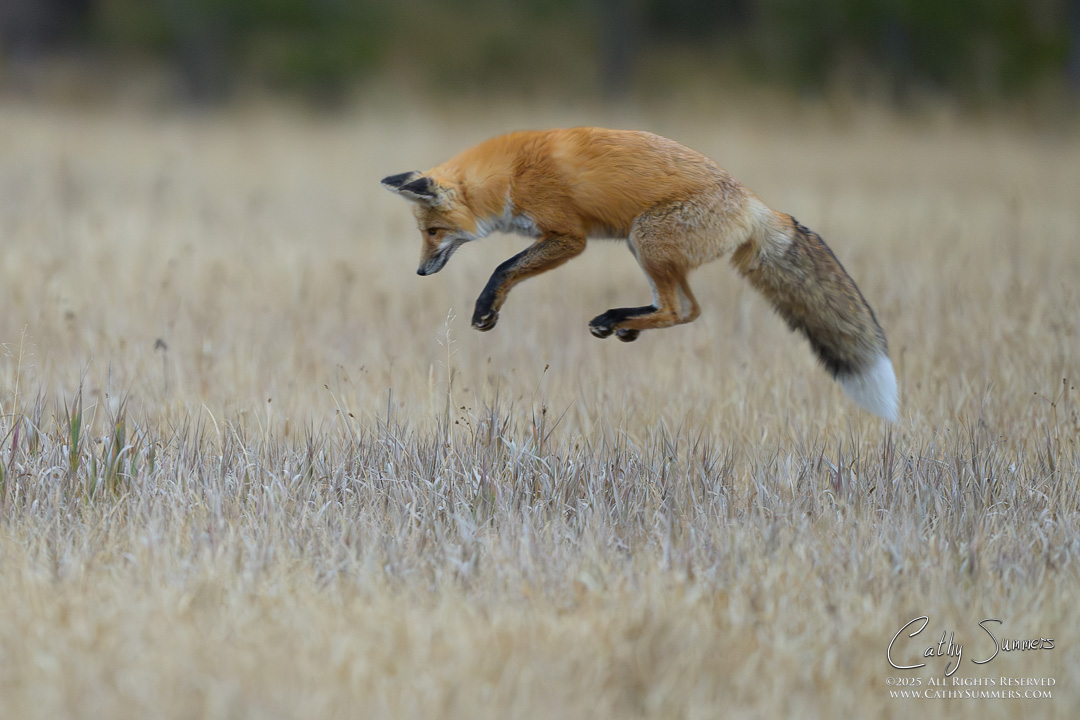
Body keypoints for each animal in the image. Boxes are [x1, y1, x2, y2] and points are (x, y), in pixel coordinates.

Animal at [382, 127, 898, 420]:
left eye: (432, 231)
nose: (420, 271)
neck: (509, 175)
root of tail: (755, 204)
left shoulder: (569, 237)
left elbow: (503, 267)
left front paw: (486, 308)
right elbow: (508, 267)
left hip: (644, 237)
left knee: (679, 309)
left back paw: (616, 320)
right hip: (645, 246)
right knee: (688, 309)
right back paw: (622, 323)